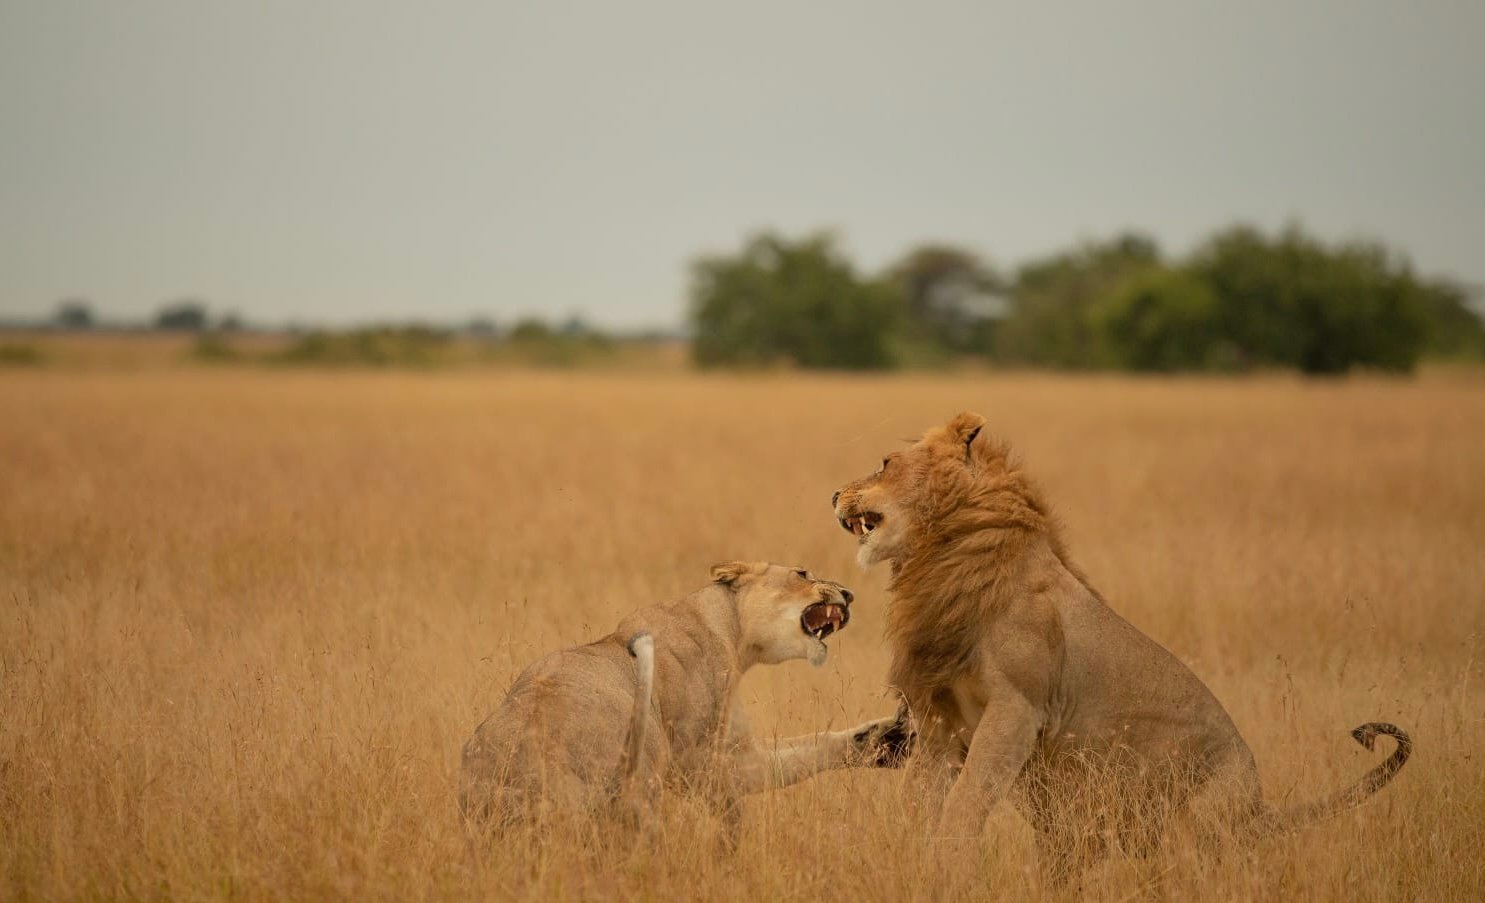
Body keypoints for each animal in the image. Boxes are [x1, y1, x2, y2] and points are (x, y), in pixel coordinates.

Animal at [458, 561, 906, 840]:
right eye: (802, 572)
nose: (849, 593)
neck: (734, 634)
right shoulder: (693, 761)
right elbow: (730, 804)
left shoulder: (737, 755)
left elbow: (809, 750)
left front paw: (888, 740)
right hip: (641, 791)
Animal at [831, 412, 1410, 878]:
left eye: (884, 463)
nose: (834, 496)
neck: (943, 554)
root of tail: (1257, 808)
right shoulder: (940, 717)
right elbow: (919, 797)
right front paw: (909, 855)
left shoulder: (1018, 708)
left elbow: (967, 797)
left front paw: (953, 866)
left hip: (1190, 827)